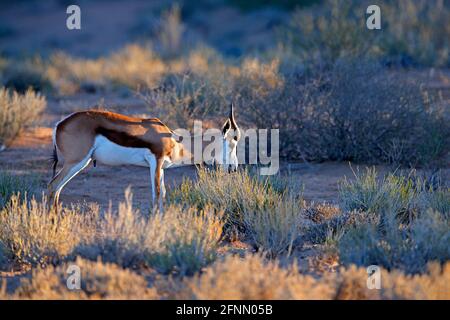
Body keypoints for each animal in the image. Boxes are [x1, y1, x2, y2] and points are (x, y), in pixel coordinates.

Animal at [47, 104, 241, 211]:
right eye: (234, 140)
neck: (174, 141)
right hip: (75, 161)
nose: (234, 168)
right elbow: (156, 194)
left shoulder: (161, 168)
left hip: (80, 163)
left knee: (57, 189)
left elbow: (162, 194)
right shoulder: (156, 162)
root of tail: (59, 124)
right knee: (53, 185)